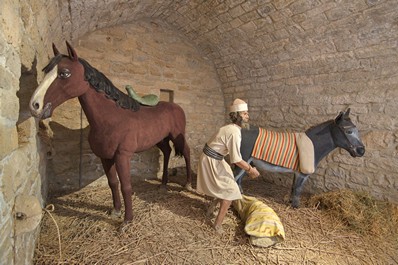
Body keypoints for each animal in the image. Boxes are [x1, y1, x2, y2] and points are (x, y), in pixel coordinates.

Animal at [29, 41, 193, 229]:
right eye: (45, 70)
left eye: (64, 73)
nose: (35, 105)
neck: (111, 119)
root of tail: (176, 107)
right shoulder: (105, 157)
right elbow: (113, 183)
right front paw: (116, 211)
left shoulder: (122, 156)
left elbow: (126, 186)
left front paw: (127, 220)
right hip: (160, 139)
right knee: (166, 152)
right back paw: (164, 184)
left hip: (177, 136)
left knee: (186, 152)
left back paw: (188, 184)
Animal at [235, 108, 366, 207]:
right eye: (348, 131)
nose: (361, 151)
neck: (313, 145)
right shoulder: (303, 174)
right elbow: (298, 189)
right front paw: (295, 206)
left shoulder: (297, 172)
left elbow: (294, 188)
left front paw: (290, 202)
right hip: (242, 160)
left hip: (248, 163)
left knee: (239, 179)